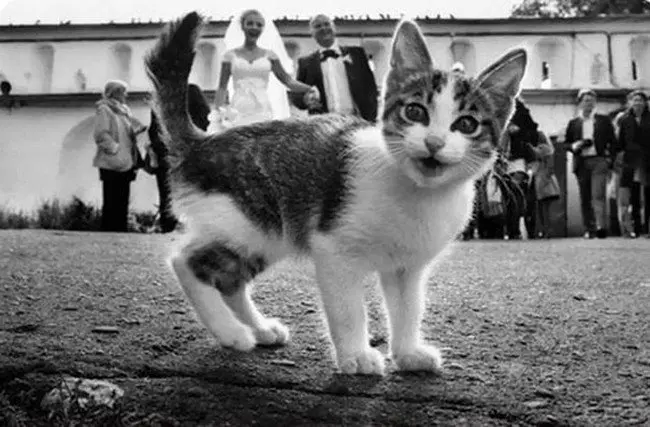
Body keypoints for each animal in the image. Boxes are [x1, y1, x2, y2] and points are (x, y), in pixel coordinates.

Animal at [144, 11, 524, 376]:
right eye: (415, 111)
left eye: (467, 124)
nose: (434, 142)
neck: (417, 193)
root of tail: (201, 142)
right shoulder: (334, 248)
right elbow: (348, 308)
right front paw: (356, 356)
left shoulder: (407, 267)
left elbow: (408, 308)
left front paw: (407, 353)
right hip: (245, 220)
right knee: (184, 260)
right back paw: (230, 332)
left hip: (266, 235)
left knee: (229, 281)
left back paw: (259, 329)